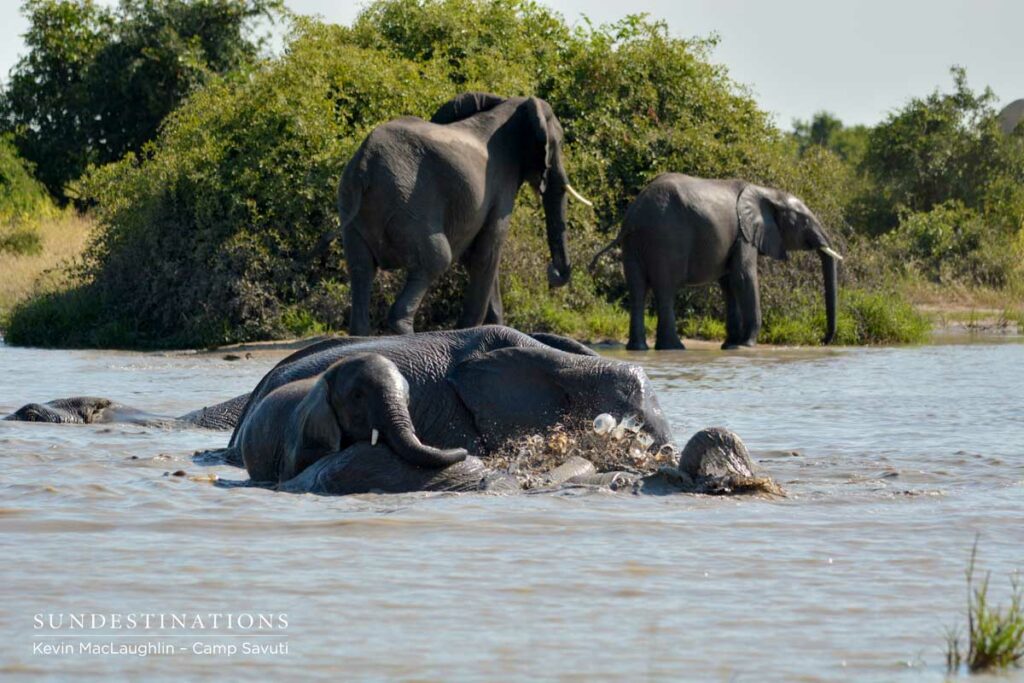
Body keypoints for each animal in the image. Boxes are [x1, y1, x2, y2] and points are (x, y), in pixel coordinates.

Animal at [318, 92, 593, 336]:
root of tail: (364, 165)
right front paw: (468, 330)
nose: (552, 271)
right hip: (408, 204)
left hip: (354, 207)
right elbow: (487, 252)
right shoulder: (500, 183)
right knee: (436, 259)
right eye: (559, 143)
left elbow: (475, 256)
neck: (513, 104)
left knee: (361, 269)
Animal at [590, 173, 843, 350]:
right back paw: (674, 347)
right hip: (666, 236)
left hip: (633, 244)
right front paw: (745, 345)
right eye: (805, 220)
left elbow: (728, 282)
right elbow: (743, 276)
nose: (824, 340)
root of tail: (633, 216)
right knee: (665, 288)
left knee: (637, 289)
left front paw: (729, 345)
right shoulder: (744, 233)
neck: (766, 192)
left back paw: (639, 348)